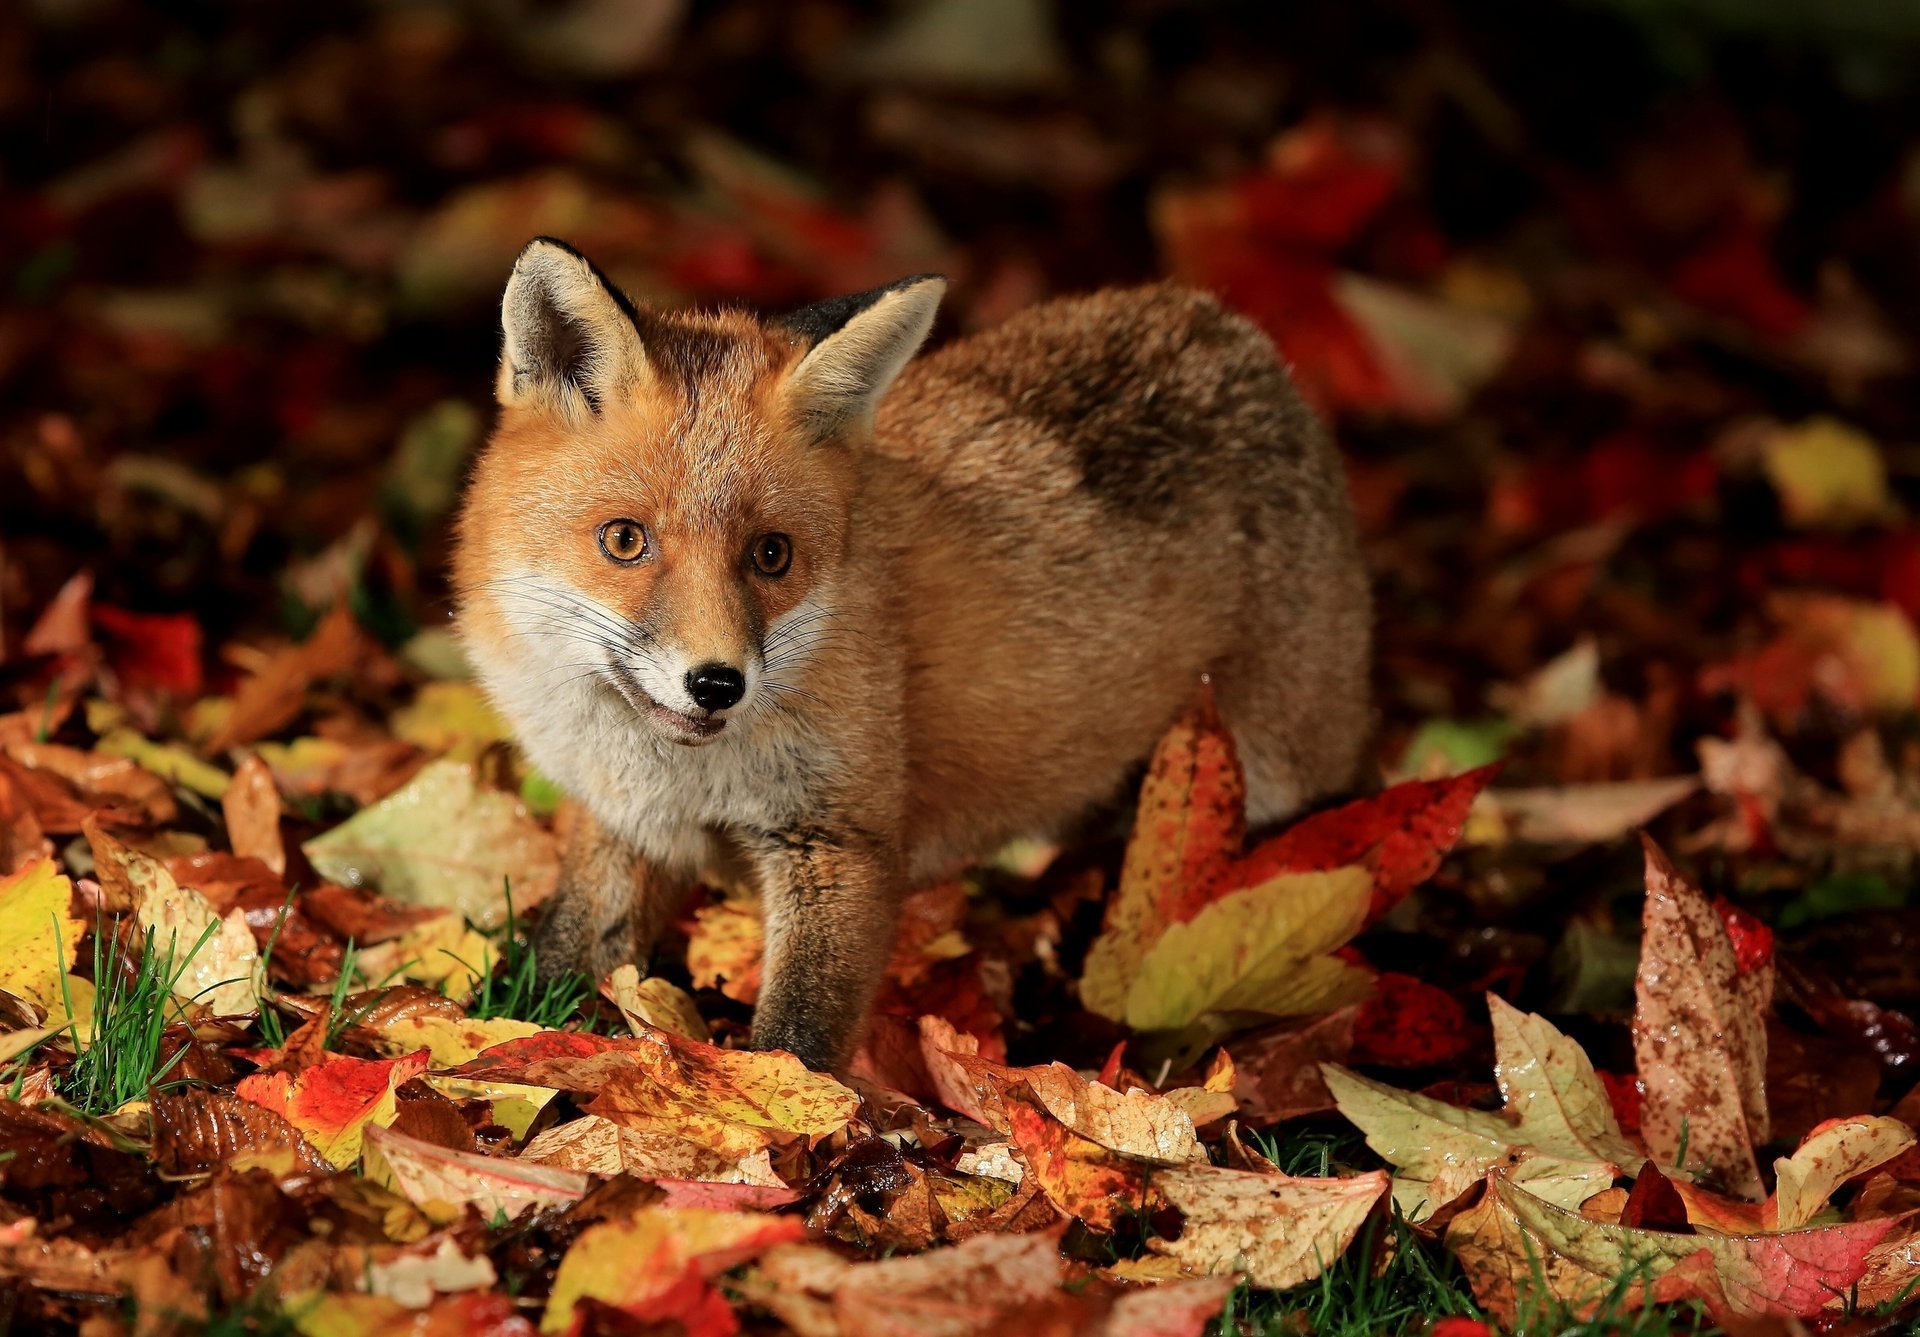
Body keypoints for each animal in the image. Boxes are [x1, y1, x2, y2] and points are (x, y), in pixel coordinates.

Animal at [452, 237, 1374, 1070]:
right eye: (624, 540)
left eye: (772, 555)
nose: (717, 683)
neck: (683, 775)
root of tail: (1232, 330)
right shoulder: (622, 823)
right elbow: (561, 958)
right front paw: (507, 1038)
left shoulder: (841, 842)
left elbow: (799, 1038)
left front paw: (787, 1125)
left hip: (1279, 779)